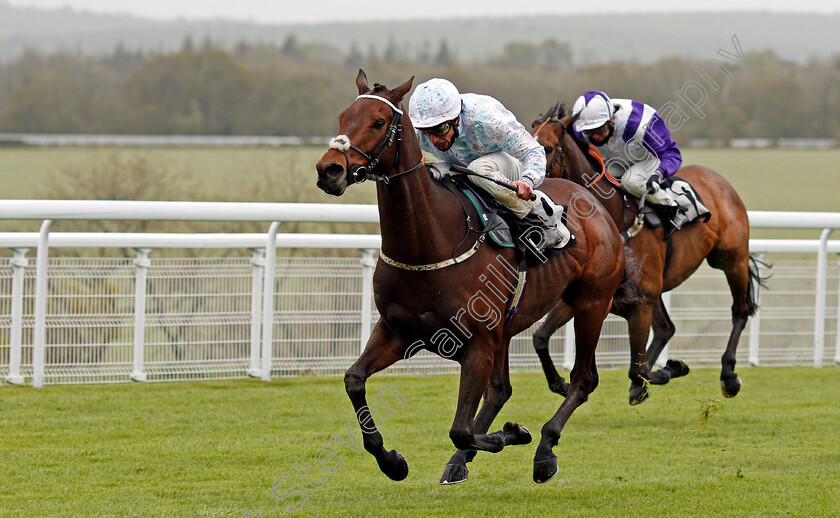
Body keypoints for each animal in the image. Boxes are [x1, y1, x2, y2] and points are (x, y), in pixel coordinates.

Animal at [318, 73, 628, 488]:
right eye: (342, 116)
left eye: (379, 122)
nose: (329, 170)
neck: (429, 243)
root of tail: (592, 199)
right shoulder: (399, 332)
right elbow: (354, 380)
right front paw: (392, 461)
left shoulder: (477, 344)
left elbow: (460, 429)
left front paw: (514, 433)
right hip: (508, 327)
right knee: (500, 390)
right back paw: (461, 462)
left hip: (592, 303)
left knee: (582, 380)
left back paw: (544, 451)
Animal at [536, 101, 764, 402]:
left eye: (548, 148)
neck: (616, 217)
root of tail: (718, 181)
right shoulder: (591, 296)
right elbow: (540, 338)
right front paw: (560, 383)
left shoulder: (638, 299)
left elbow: (637, 368)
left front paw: (669, 369)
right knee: (666, 328)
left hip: (731, 259)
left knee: (740, 309)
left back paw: (728, 375)